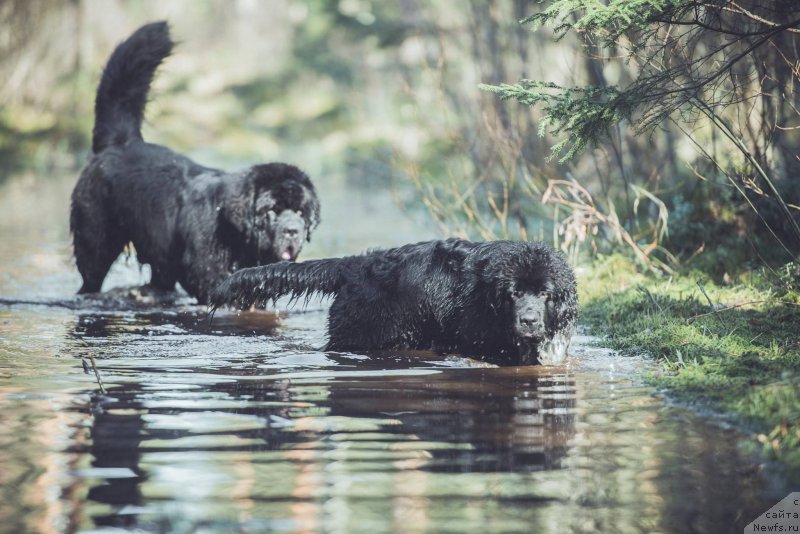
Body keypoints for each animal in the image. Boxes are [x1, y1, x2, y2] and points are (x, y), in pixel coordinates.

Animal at [69, 23, 318, 306]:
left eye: (300, 212)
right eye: (272, 210)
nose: (292, 231)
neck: (232, 229)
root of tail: (121, 142)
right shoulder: (206, 270)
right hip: (95, 236)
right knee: (91, 273)